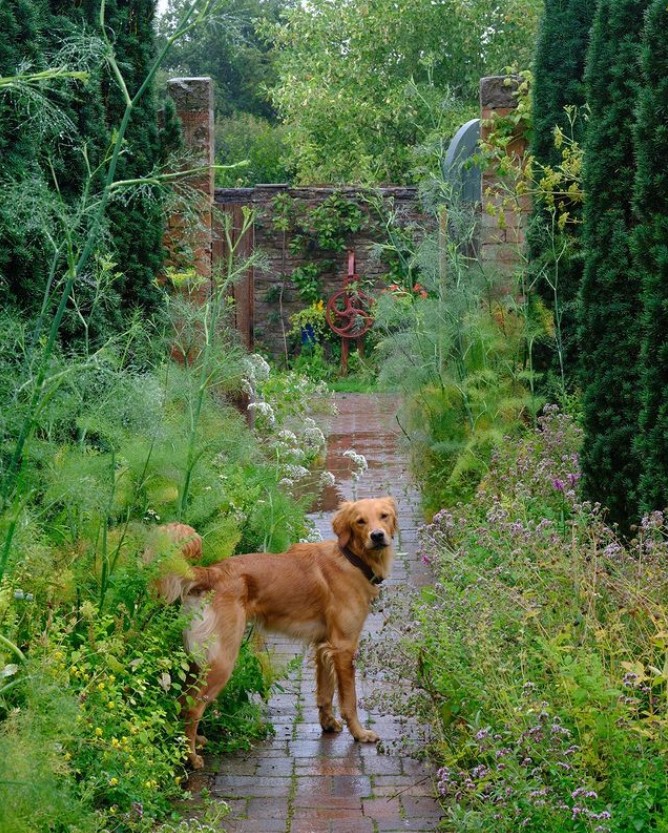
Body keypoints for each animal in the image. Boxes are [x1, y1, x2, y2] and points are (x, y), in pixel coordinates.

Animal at [154, 494, 396, 768]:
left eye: (384, 516)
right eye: (360, 521)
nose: (377, 536)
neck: (350, 558)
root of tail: (211, 572)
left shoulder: (324, 645)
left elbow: (325, 694)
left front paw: (328, 724)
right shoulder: (344, 646)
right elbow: (349, 700)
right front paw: (359, 733)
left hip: (199, 660)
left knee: (182, 700)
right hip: (222, 660)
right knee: (193, 707)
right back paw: (191, 757)